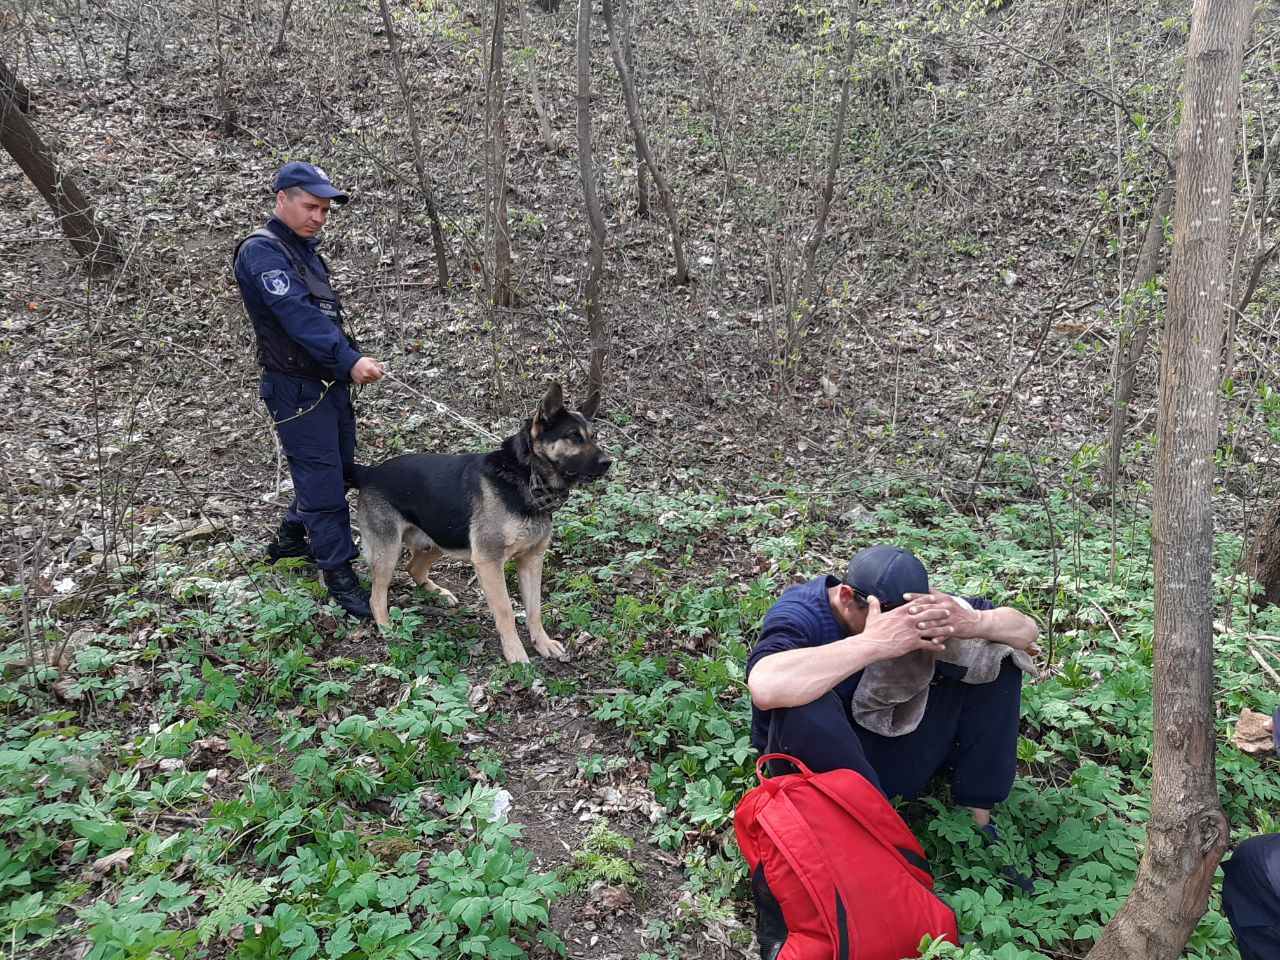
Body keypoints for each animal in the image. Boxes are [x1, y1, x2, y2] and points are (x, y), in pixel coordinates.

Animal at [350, 384, 609, 660]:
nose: (608, 462)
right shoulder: (489, 562)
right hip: (389, 552)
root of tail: (370, 472)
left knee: (414, 568)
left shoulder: (531, 560)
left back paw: (438, 593)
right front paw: (516, 654)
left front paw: (542, 642)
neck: (527, 476)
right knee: (376, 597)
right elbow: (506, 611)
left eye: (594, 436)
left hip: (441, 539)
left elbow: (535, 609)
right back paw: (388, 630)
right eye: (573, 436)